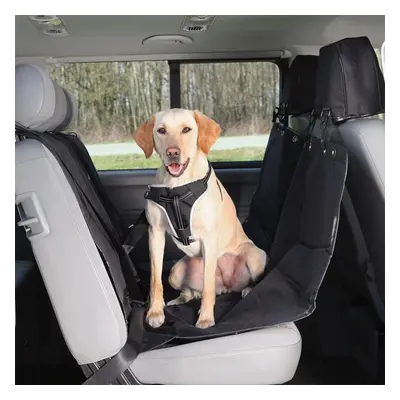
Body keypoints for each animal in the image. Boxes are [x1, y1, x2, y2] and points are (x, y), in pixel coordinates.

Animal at [133, 109, 267, 329]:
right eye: (161, 130)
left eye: (187, 129)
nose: (172, 153)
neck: (177, 187)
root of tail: (226, 286)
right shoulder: (155, 233)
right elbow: (155, 279)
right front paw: (155, 311)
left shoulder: (209, 238)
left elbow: (208, 285)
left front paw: (205, 318)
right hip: (176, 272)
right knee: (190, 290)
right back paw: (181, 297)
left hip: (255, 257)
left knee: (244, 282)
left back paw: (247, 290)